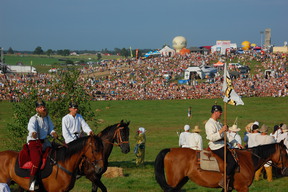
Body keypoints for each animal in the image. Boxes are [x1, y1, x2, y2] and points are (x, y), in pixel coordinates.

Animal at [156, 142, 288, 191]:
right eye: (285, 153)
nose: (286, 170)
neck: (248, 160)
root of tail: (171, 150)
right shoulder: (243, 187)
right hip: (174, 181)